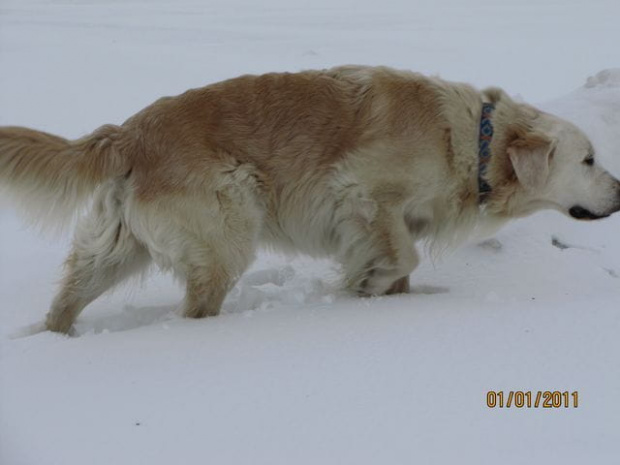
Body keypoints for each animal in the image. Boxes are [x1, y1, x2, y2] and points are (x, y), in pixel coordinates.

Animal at [1, 66, 620, 334]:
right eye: (589, 159)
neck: (473, 138)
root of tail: (128, 132)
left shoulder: (391, 217)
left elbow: (404, 268)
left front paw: (390, 299)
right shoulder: (362, 194)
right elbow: (400, 254)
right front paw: (363, 286)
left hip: (115, 246)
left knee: (68, 296)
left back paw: (57, 339)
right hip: (226, 230)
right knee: (195, 308)